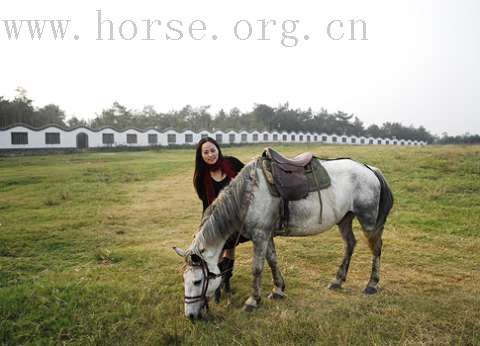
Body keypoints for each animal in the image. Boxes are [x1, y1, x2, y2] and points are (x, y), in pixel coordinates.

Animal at [174, 156, 392, 318]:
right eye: (184, 279)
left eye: (197, 281)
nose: (190, 316)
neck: (248, 194)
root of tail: (369, 169)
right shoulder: (266, 235)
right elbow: (272, 261)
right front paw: (278, 289)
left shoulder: (260, 236)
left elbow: (257, 268)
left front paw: (253, 301)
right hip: (345, 219)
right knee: (350, 244)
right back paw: (338, 280)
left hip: (368, 220)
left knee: (376, 248)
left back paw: (372, 284)